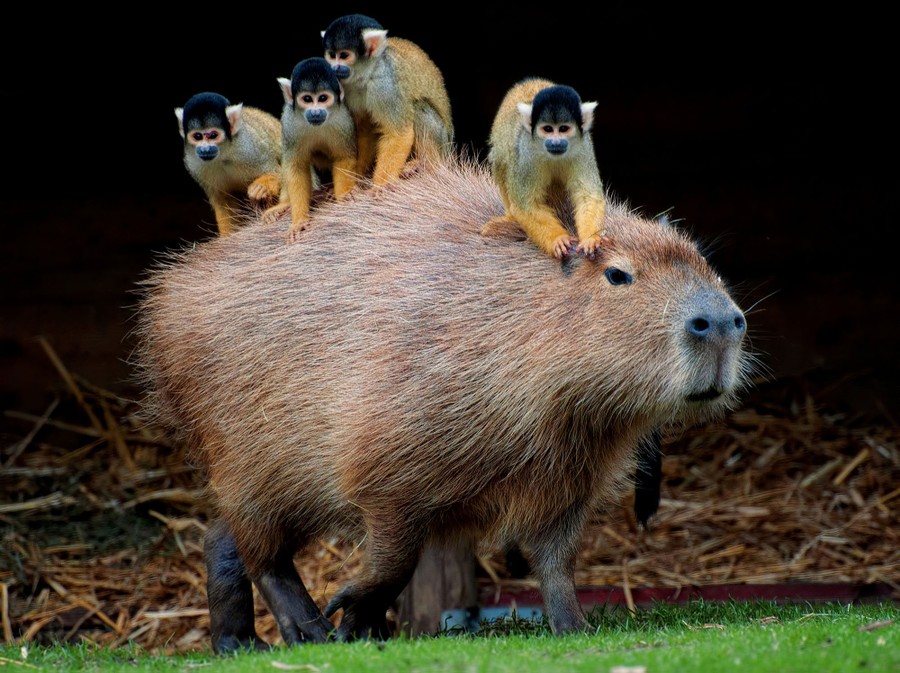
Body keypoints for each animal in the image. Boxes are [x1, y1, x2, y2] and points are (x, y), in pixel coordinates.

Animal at [175, 92, 282, 234]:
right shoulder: (194, 164)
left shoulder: (249, 149)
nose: (205, 149)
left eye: (213, 135)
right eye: (197, 136)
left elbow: (277, 172)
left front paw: (262, 187)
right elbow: (224, 200)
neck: (223, 155)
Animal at [264, 57, 358, 242]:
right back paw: (285, 204)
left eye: (322, 98)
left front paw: (344, 195)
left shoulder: (343, 120)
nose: (315, 112)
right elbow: (296, 167)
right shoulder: (290, 122)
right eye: (307, 99)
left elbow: (344, 157)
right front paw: (299, 221)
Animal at [320, 13, 454, 186]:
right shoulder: (345, 88)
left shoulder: (385, 85)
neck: (366, 75)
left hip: (443, 143)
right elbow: (365, 130)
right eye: (331, 55)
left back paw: (426, 164)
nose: (334, 68)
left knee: (418, 108)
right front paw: (357, 175)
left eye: (344, 55)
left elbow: (399, 133)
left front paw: (380, 186)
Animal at [482, 77, 608, 258]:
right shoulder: (526, 153)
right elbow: (526, 205)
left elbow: (588, 196)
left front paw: (592, 238)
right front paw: (558, 239)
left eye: (563, 129)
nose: (556, 142)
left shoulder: (583, 148)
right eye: (547, 129)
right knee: (501, 160)